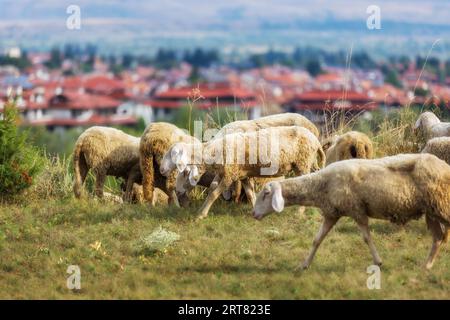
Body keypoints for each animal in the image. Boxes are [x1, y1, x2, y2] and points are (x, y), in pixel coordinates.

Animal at [168, 126, 324, 219]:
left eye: (184, 172)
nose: (176, 190)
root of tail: (315, 140)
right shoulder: (240, 175)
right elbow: (249, 194)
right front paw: (256, 210)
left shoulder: (230, 175)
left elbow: (213, 194)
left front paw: (201, 214)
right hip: (309, 163)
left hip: (302, 162)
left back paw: (299, 212)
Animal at [253, 154, 450, 268]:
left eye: (266, 194)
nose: (253, 214)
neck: (321, 185)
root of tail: (445, 166)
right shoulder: (331, 213)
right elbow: (317, 240)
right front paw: (305, 265)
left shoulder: (357, 210)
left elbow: (367, 238)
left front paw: (378, 262)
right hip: (432, 211)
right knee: (438, 238)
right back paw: (426, 266)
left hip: (442, 205)